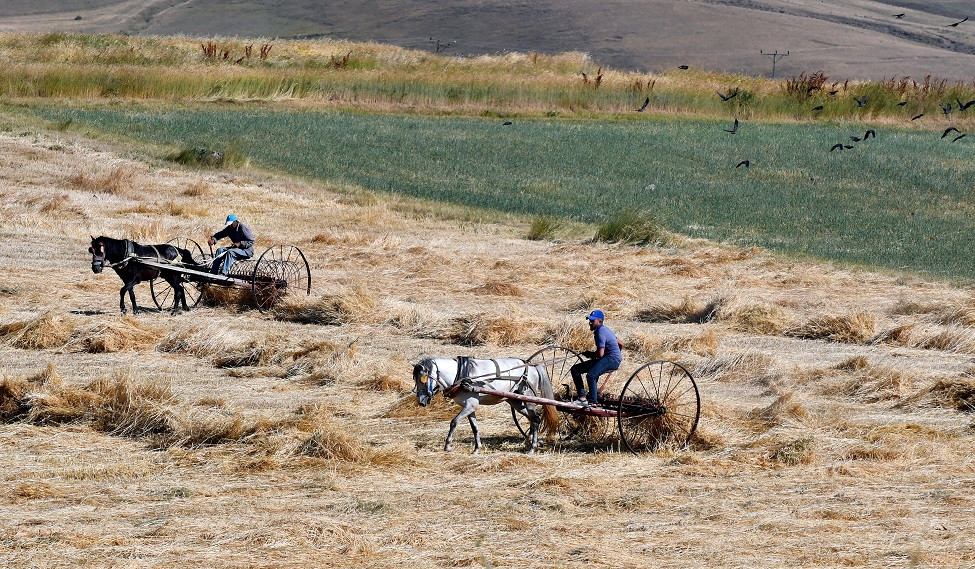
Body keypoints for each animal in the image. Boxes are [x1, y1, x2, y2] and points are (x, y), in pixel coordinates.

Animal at [416, 356, 560, 452]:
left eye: (423, 379)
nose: (421, 401)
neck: (462, 374)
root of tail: (530, 365)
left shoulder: (470, 405)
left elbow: (454, 422)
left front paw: (447, 445)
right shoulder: (469, 407)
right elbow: (474, 427)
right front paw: (476, 449)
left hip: (528, 398)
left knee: (535, 419)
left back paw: (532, 448)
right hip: (516, 401)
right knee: (533, 419)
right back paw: (530, 442)